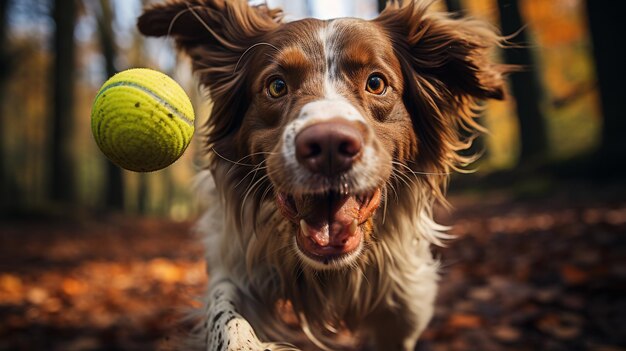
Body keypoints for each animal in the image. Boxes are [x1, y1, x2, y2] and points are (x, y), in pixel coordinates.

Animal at [138, 1, 508, 350]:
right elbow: (227, 317)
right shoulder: (238, 264)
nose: (329, 144)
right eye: (276, 86)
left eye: (376, 83)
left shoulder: (403, 306)